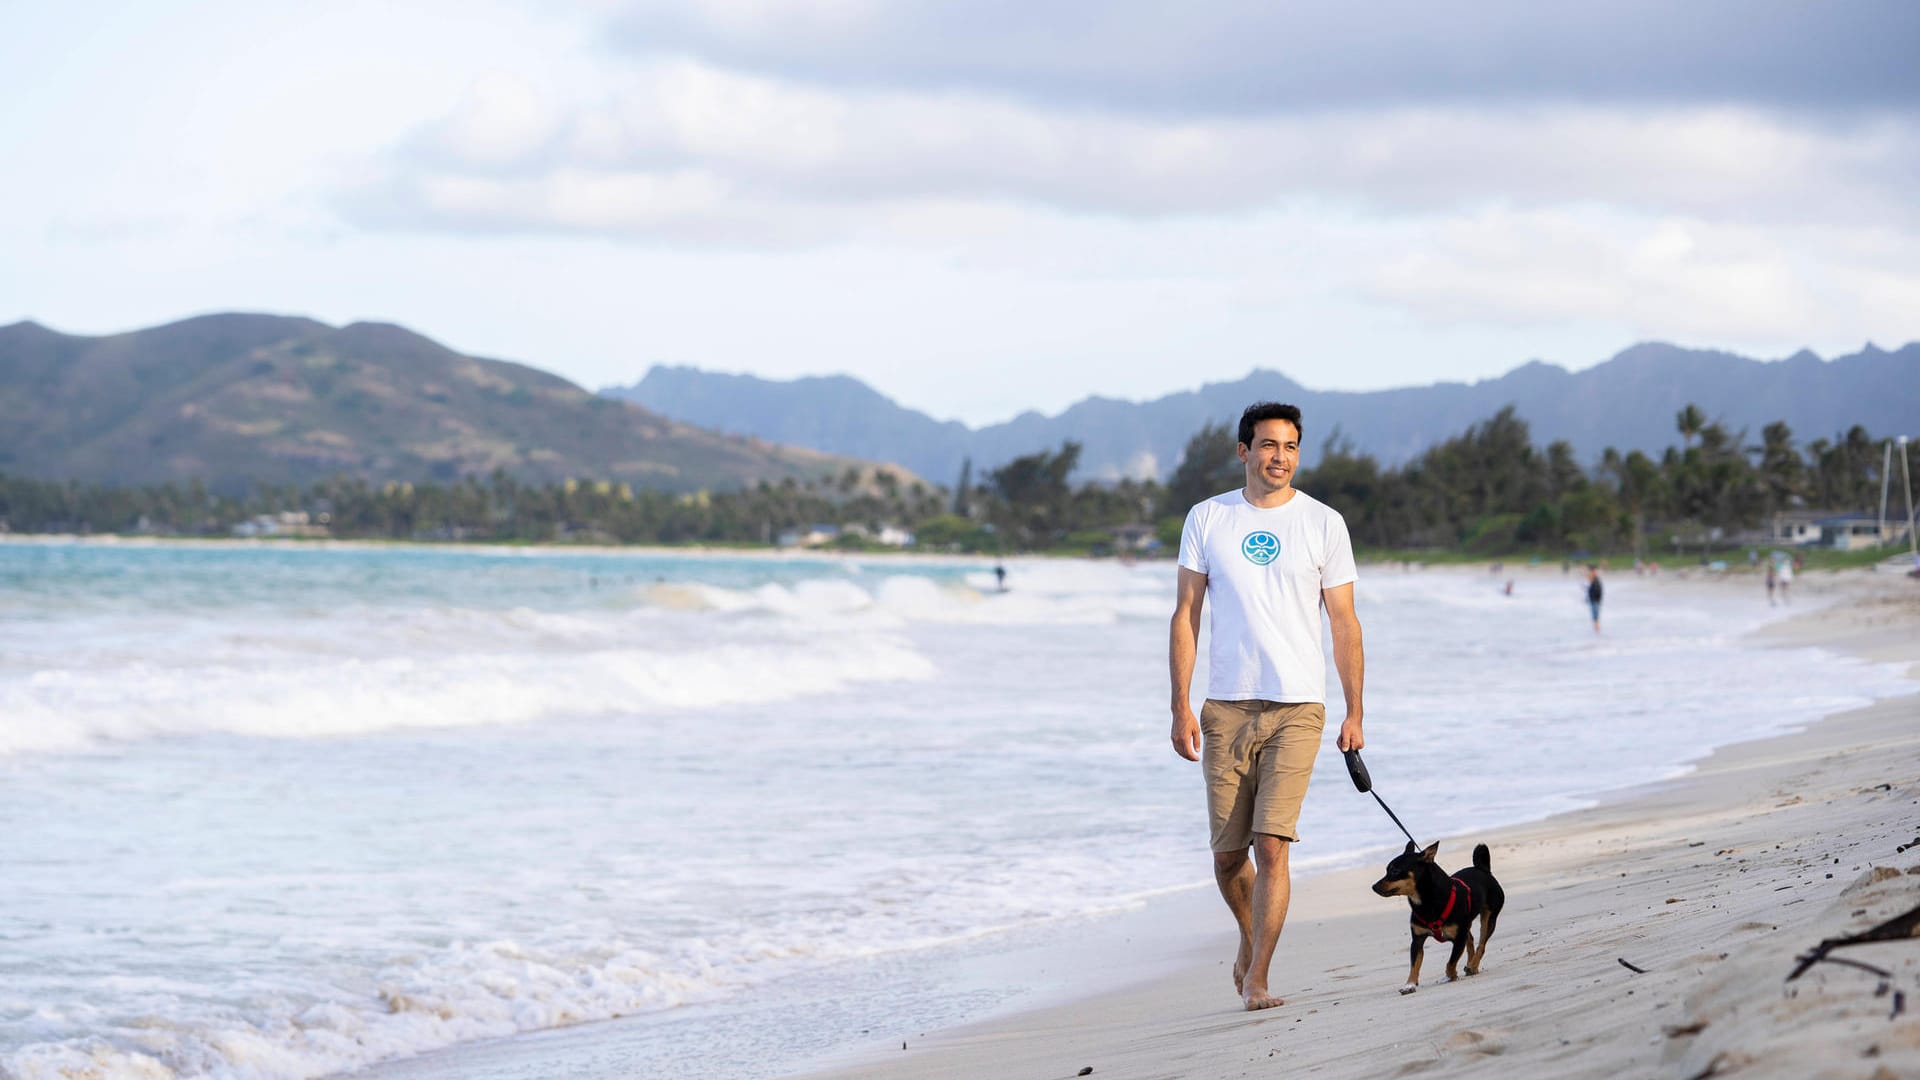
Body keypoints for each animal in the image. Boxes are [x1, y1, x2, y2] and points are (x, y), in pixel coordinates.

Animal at [1374, 841, 1505, 991]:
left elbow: (1451, 962)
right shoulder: (1417, 941)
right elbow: (1414, 965)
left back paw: (1473, 965)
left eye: (1395, 871)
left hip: (1489, 918)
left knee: (1481, 944)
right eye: (1386, 871)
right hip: (1466, 925)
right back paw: (1470, 964)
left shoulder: (1458, 940)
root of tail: (1483, 869)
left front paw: (1450, 976)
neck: (1425, 901)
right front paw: (1410, 984)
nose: (1374, 886)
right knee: (1470, 940)